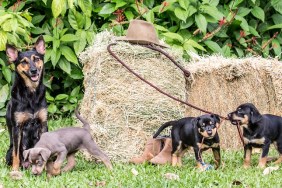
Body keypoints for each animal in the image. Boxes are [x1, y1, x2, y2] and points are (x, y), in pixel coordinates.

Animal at [5, 36, 47, 178]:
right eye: (24, 62)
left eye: (37, 59)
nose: (34, 71)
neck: (31, 94)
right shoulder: (17, 128)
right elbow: (16, 154)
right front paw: (15, 171)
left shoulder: (43, 124)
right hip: (9, 150)